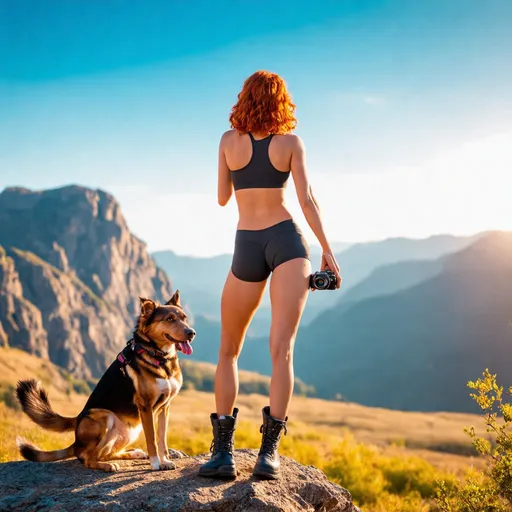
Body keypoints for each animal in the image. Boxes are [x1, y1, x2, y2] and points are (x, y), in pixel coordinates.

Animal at [15, 292, 196, 472]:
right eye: (170, 319)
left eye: (184, 318)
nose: (192, 333)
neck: (161, 358)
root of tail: (77, 420)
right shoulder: (145, 406)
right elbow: (152, 439)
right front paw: (156, 463)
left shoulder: (165, 407)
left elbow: (162, 439)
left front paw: (164, 461)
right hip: (104, 417)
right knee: (88, 458)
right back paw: (107, 465)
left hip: (129, 431)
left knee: (104, 453)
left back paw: (132, 454)